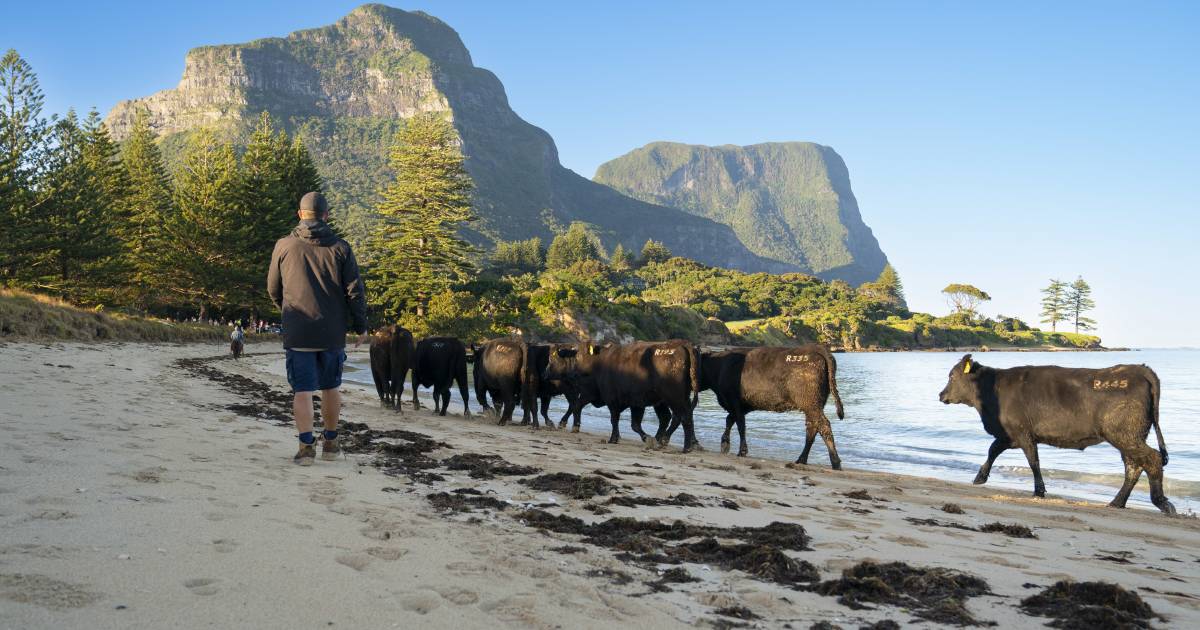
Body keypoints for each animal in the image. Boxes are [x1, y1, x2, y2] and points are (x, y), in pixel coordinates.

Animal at [547, 340, 700, 448]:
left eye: (553, 359)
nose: (545, 373)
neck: (597, 362)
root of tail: (683, 346)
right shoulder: (635, 403)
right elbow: (635, 424)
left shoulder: (609, 398)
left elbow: (614, 419)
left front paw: (613, 438)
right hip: (670, 400)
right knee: (673, 417)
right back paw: (665, 441)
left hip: (674, 398)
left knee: (683, 417)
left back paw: (685, 447)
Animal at [691, 343, 849, 465]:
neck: (719, 367)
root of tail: (815, 348)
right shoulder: (740, 405)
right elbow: (730, 420)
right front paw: (725, 444)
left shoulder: (734, 401)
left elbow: (740, 425)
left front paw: (742, 450)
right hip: (813, 405)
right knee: (813, 427)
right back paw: (802, 459)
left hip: (811, 403)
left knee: (823, 426)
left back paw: (835, 461)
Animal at [936, 350, 1171, 513]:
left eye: (952, 376)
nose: (941, 395)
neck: (991, 391)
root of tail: (1139, 369)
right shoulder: (1010, 434)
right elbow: (993, 450)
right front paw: (980, 477)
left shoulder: (1022, 433)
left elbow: (1032, 461)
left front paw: (1039, 491)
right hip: (1129, 436)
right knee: (1134, 465)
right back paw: (1117, 502)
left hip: (1125, 435)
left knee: (1152, 459)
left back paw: (1162, 502)